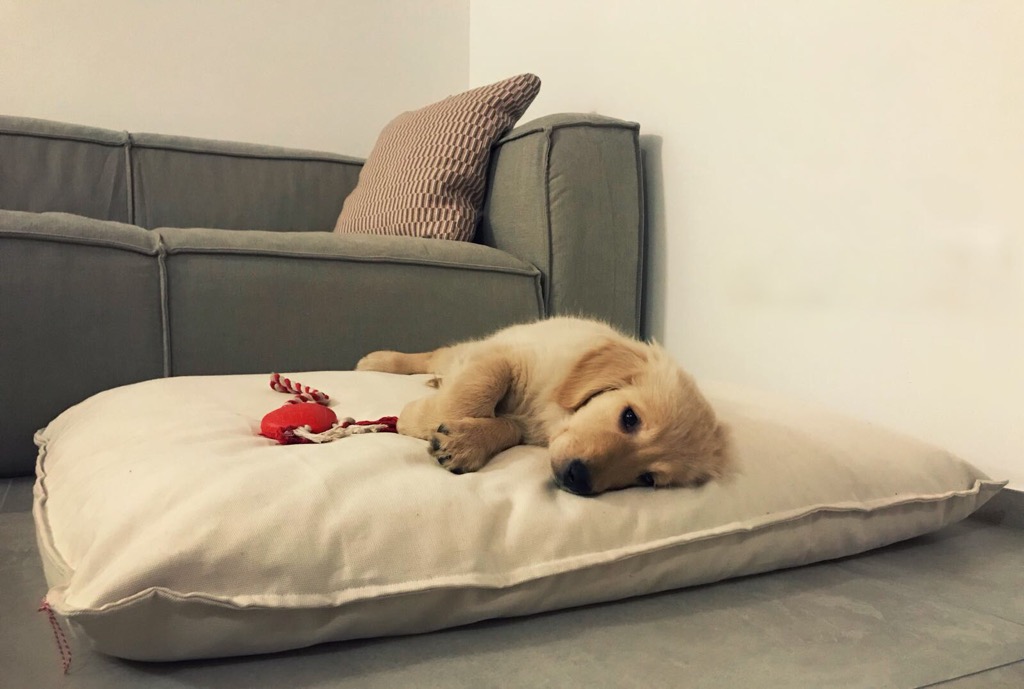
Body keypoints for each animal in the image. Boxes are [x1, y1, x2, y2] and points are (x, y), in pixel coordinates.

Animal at [356, 317, 733, 495]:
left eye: (647, 479)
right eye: (629, 418)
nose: (578, 480)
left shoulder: (527, 425)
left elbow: (506, 427)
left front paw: (466, 441)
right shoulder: (505, 357)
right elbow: (475, 390)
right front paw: (414, 418)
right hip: (469, 349)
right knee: (436, 355)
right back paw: (377, 361)